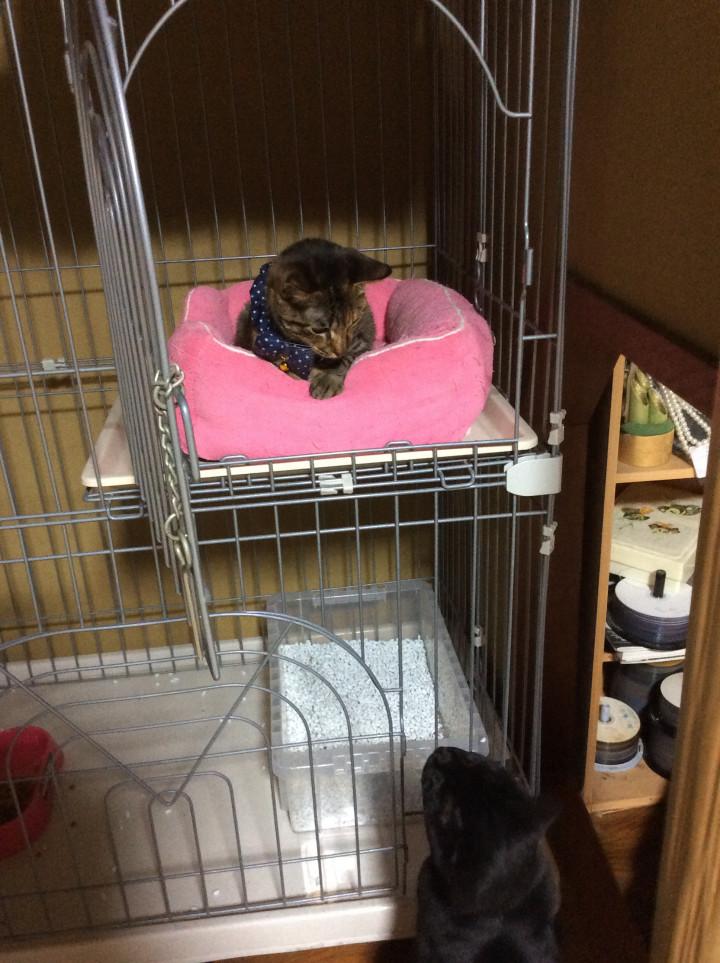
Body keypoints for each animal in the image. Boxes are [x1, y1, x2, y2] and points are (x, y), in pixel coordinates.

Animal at [234, 238, 392, 399]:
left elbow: (348, 356)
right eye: (318, 330)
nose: (340, 351)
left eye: (353, 322)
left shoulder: (363, 335)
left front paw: (328, 377)